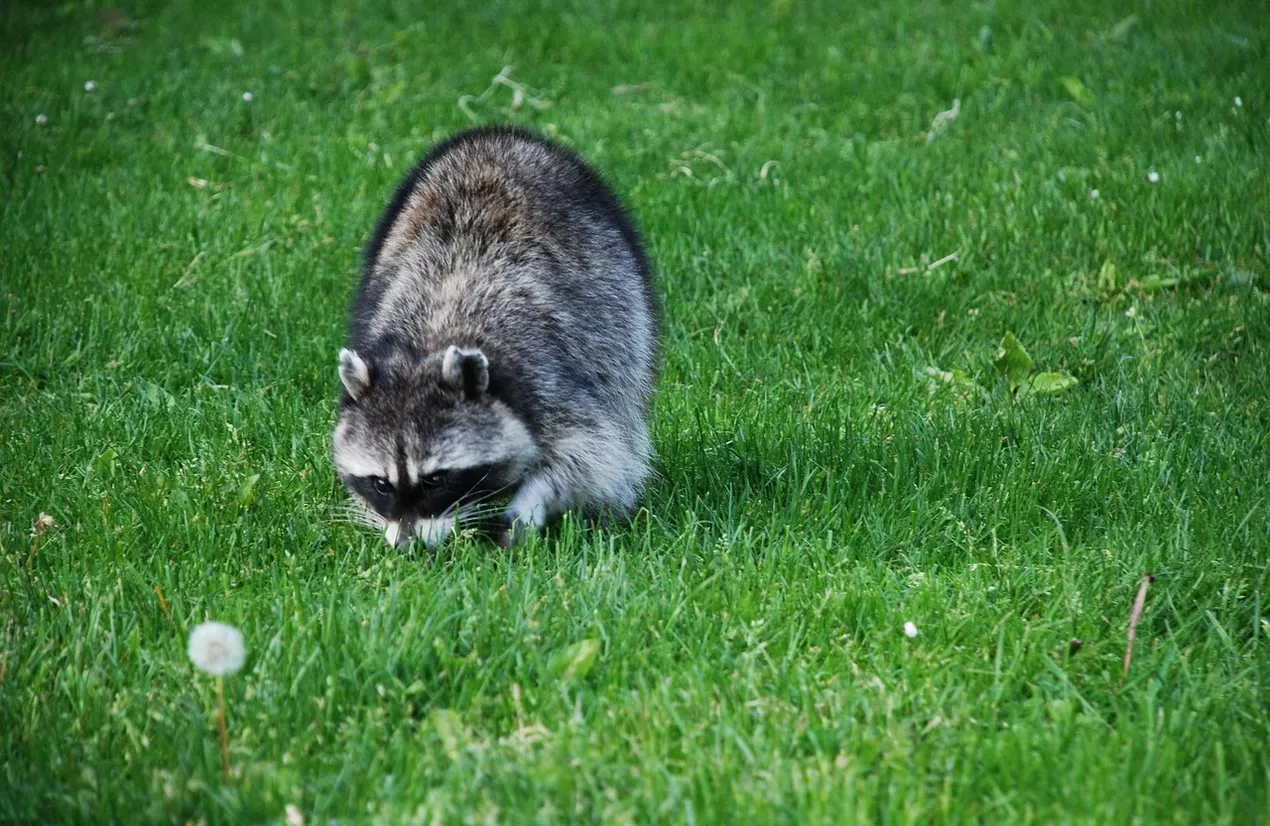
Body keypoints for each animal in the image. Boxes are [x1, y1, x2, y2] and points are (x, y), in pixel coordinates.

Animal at [332, 126, 658, 548]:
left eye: (436, 479)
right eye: (381, 484)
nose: (407, 547)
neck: (430, 343)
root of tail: (497, 136)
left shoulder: (551, 383)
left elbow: (592, 458)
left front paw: (528, 504)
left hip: (622, 297)